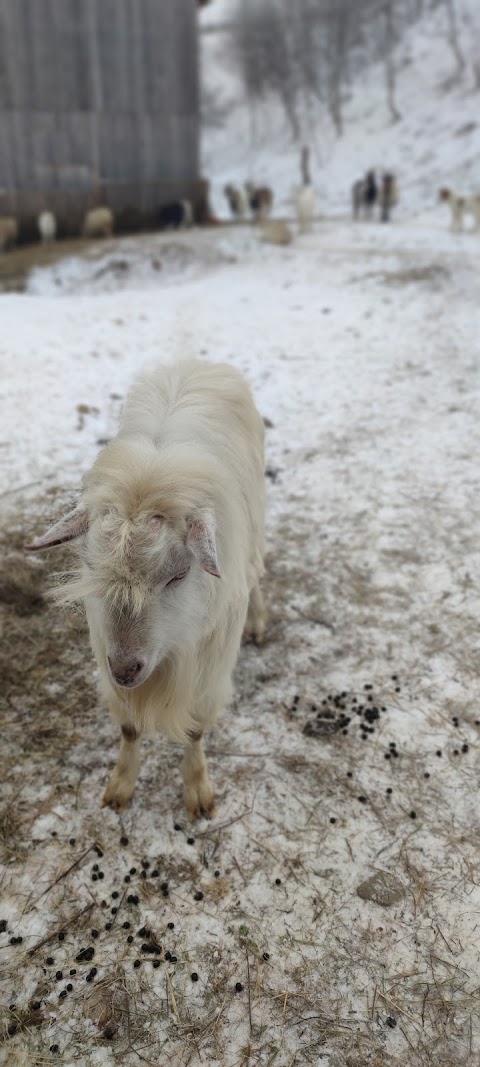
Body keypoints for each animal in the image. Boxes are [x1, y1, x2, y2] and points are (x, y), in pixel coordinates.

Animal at [25, 358, 266, 815]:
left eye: (178, 574)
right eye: (90, 567)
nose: (126, 669)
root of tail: (199, 361)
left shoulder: (209, 668)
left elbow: (195, 730)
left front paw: (198, 791)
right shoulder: (107, 664)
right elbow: (130, 729)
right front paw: (121, 785)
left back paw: (259, 622)